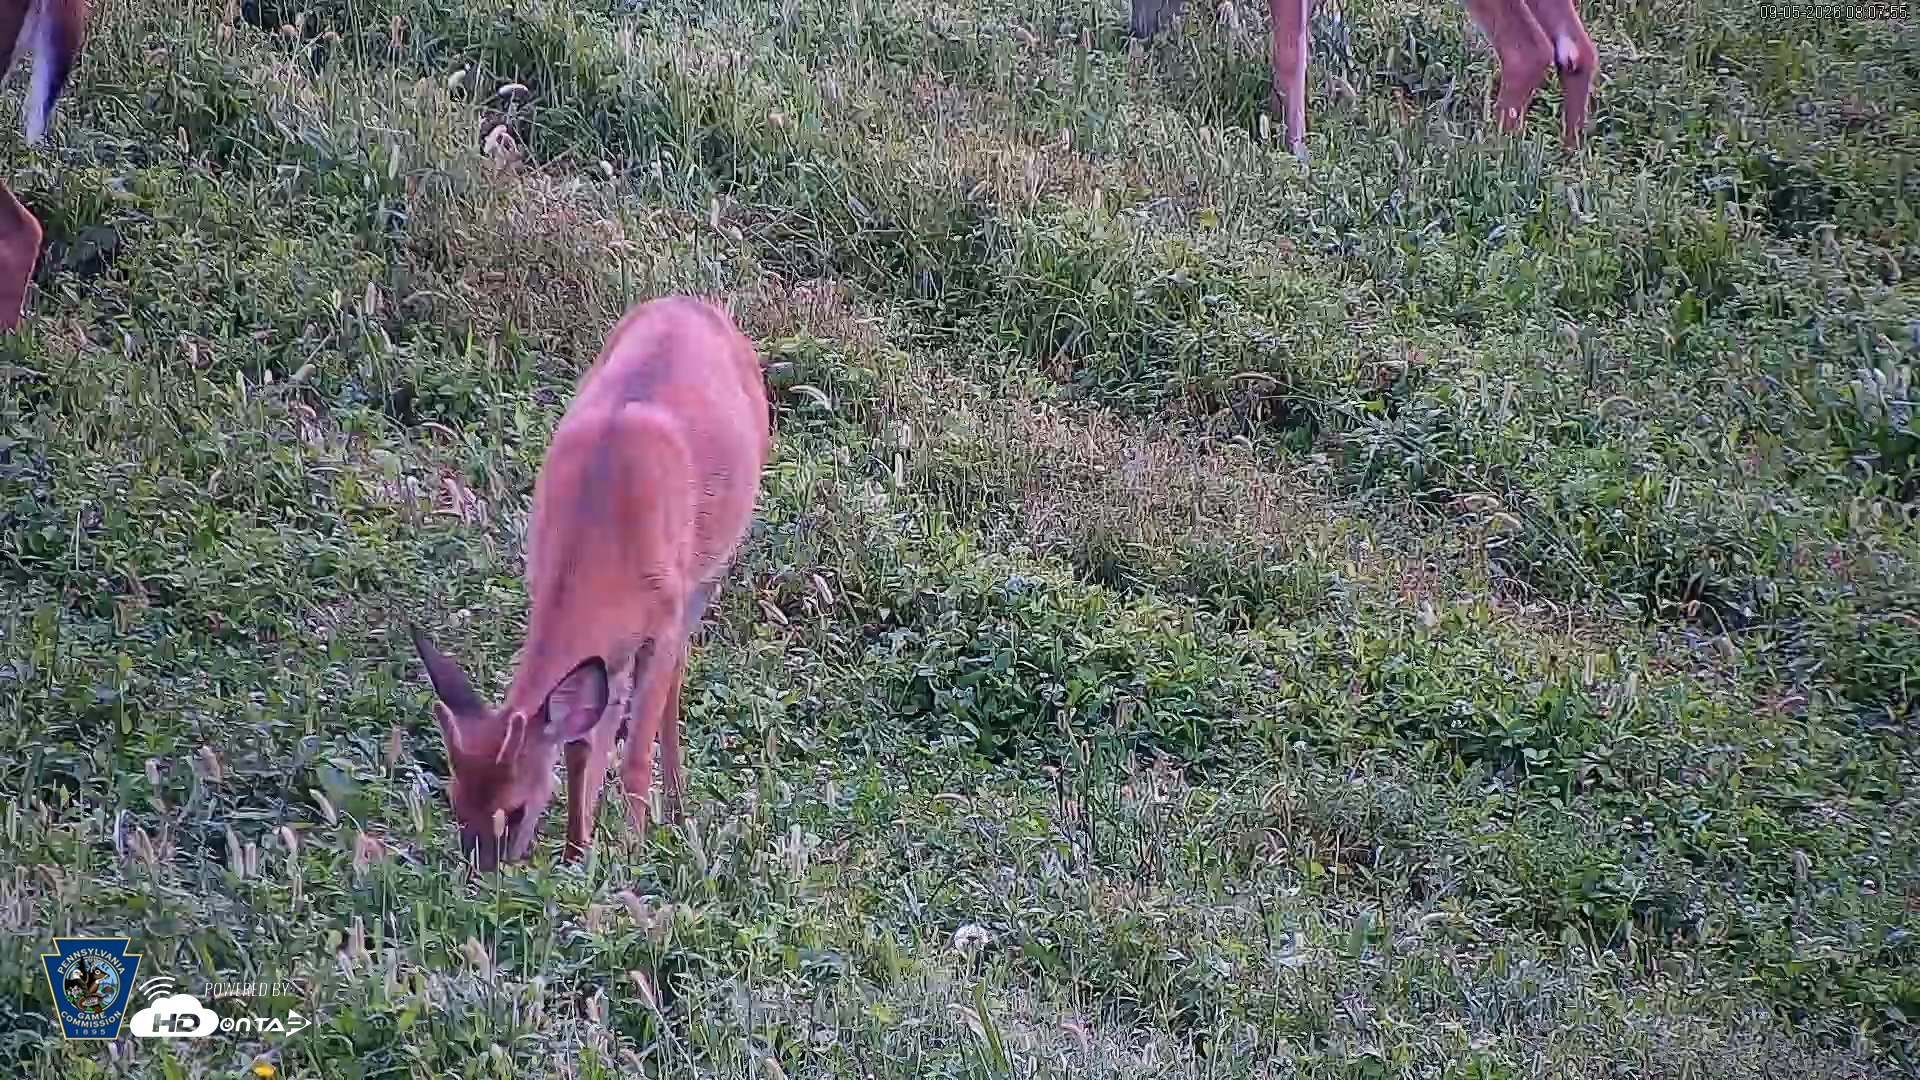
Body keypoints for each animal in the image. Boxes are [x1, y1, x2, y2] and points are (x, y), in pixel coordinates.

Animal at [410, 296, 771, 871]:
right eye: (453, 799)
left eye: (515, 807)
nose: (482, 877)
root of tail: (694, 301)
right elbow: (579, 744)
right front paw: (577, 852)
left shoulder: (661, 620)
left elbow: (636, 752)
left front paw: (631, 851)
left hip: (709, 571)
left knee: (677, 675)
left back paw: (675, 811)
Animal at [1129, 0, 1595, 160]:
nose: (1138, 33)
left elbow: (1289, 53)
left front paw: (1295, 150)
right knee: (1577, 49)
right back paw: (1566, 161)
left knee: (1528, 48)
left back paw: (1489, 155)